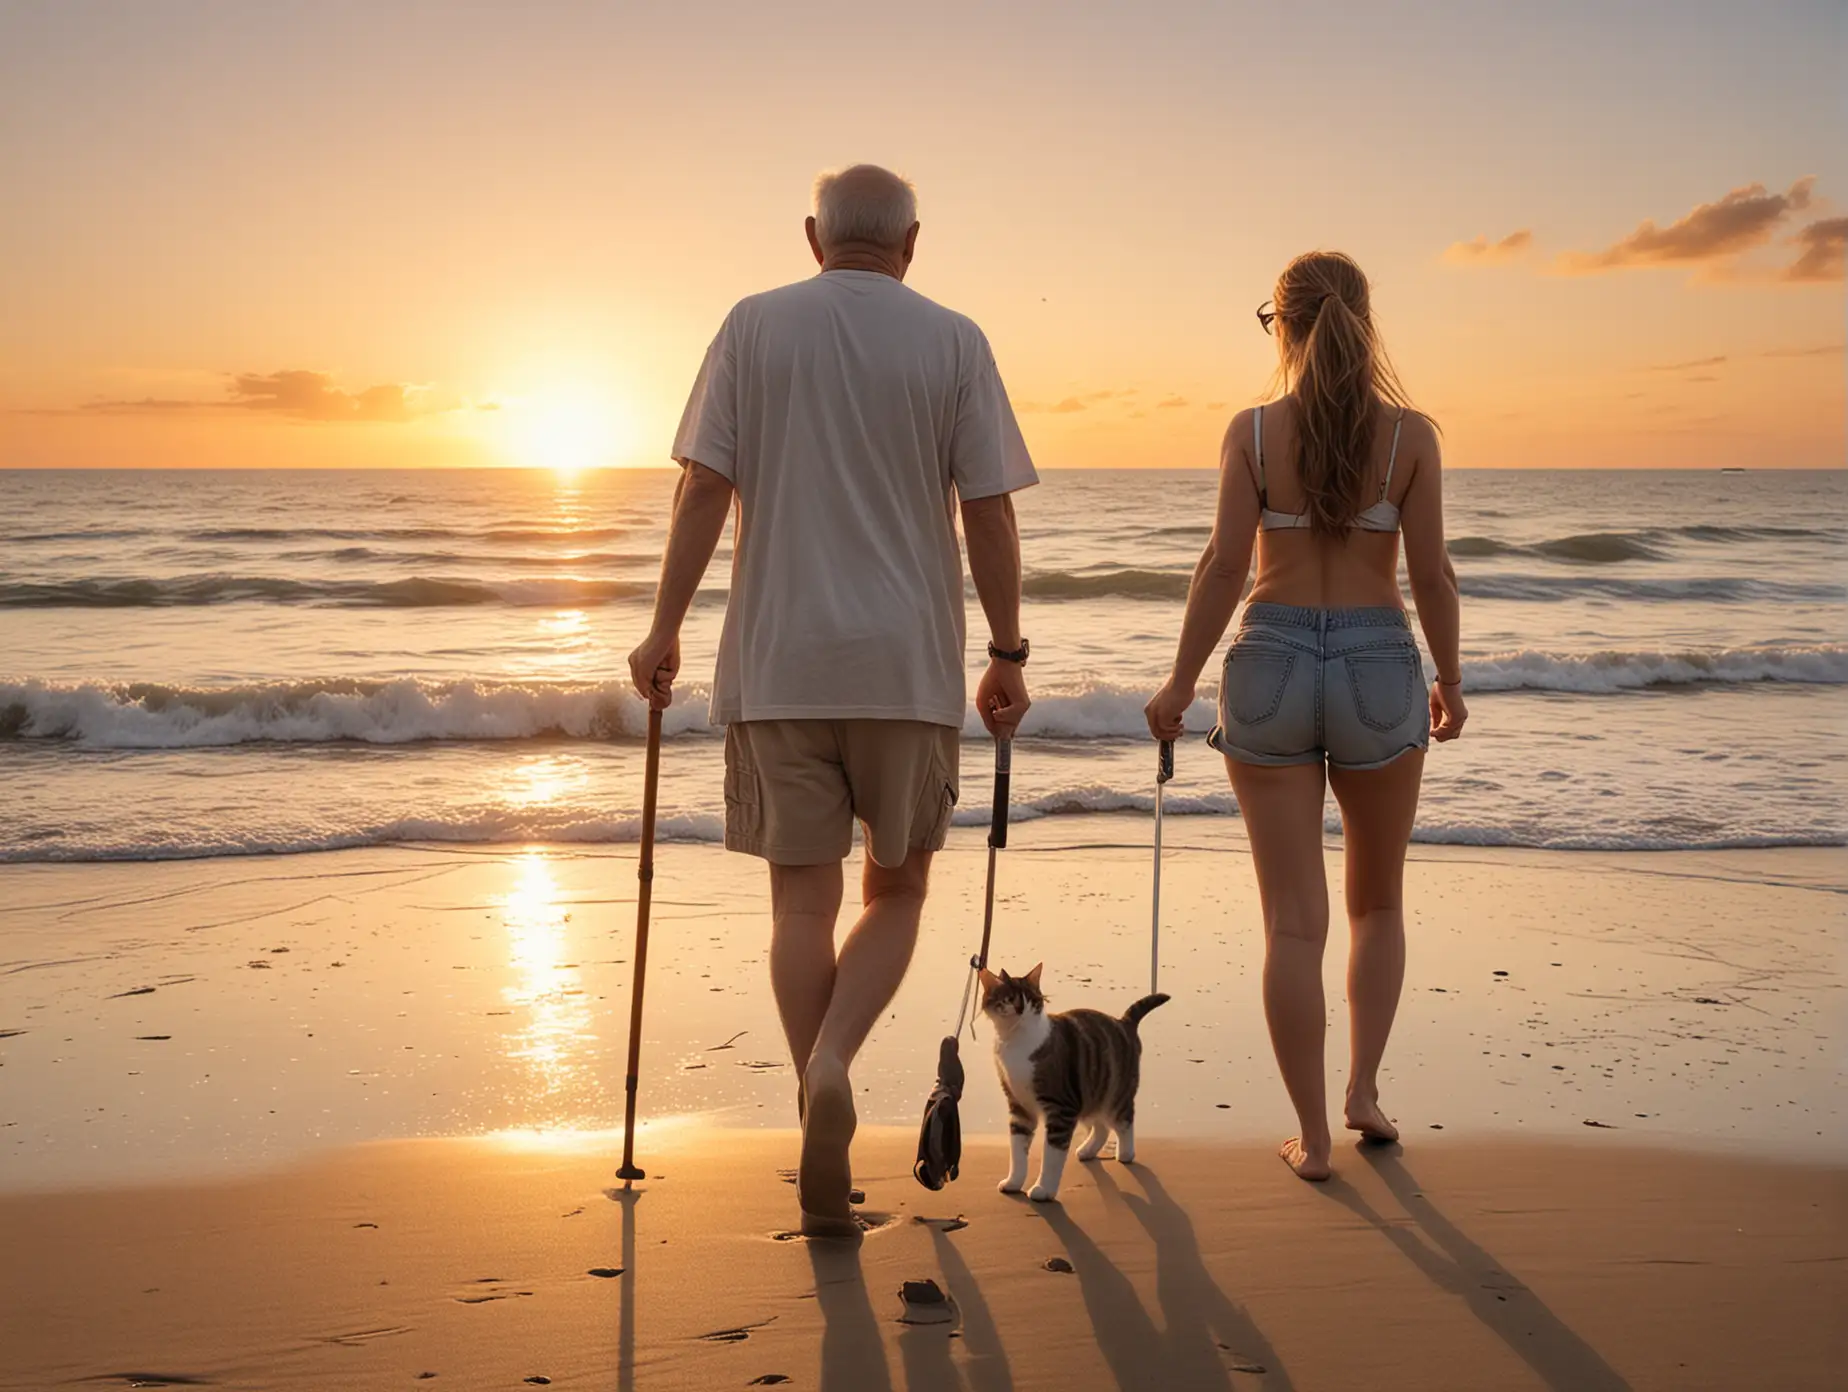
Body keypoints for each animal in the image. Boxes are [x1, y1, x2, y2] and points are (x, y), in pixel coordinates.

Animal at [983, 961, 1167, 1197]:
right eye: (1008, 999)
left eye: (1032, 999)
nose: (1020, 1009)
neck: (1016, 1042)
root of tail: (1123, 1022)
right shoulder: (1019, 1107)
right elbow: (1017, 1151)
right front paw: (1014, 1182)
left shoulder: (1062, 1107)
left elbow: (1052, 1155)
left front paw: (1044, 1189)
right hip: (1090, 1091)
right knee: (1101, 1127)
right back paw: (1088, 1150)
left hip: (1114, 1094)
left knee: (1124, 1120)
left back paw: (1126, 1153)